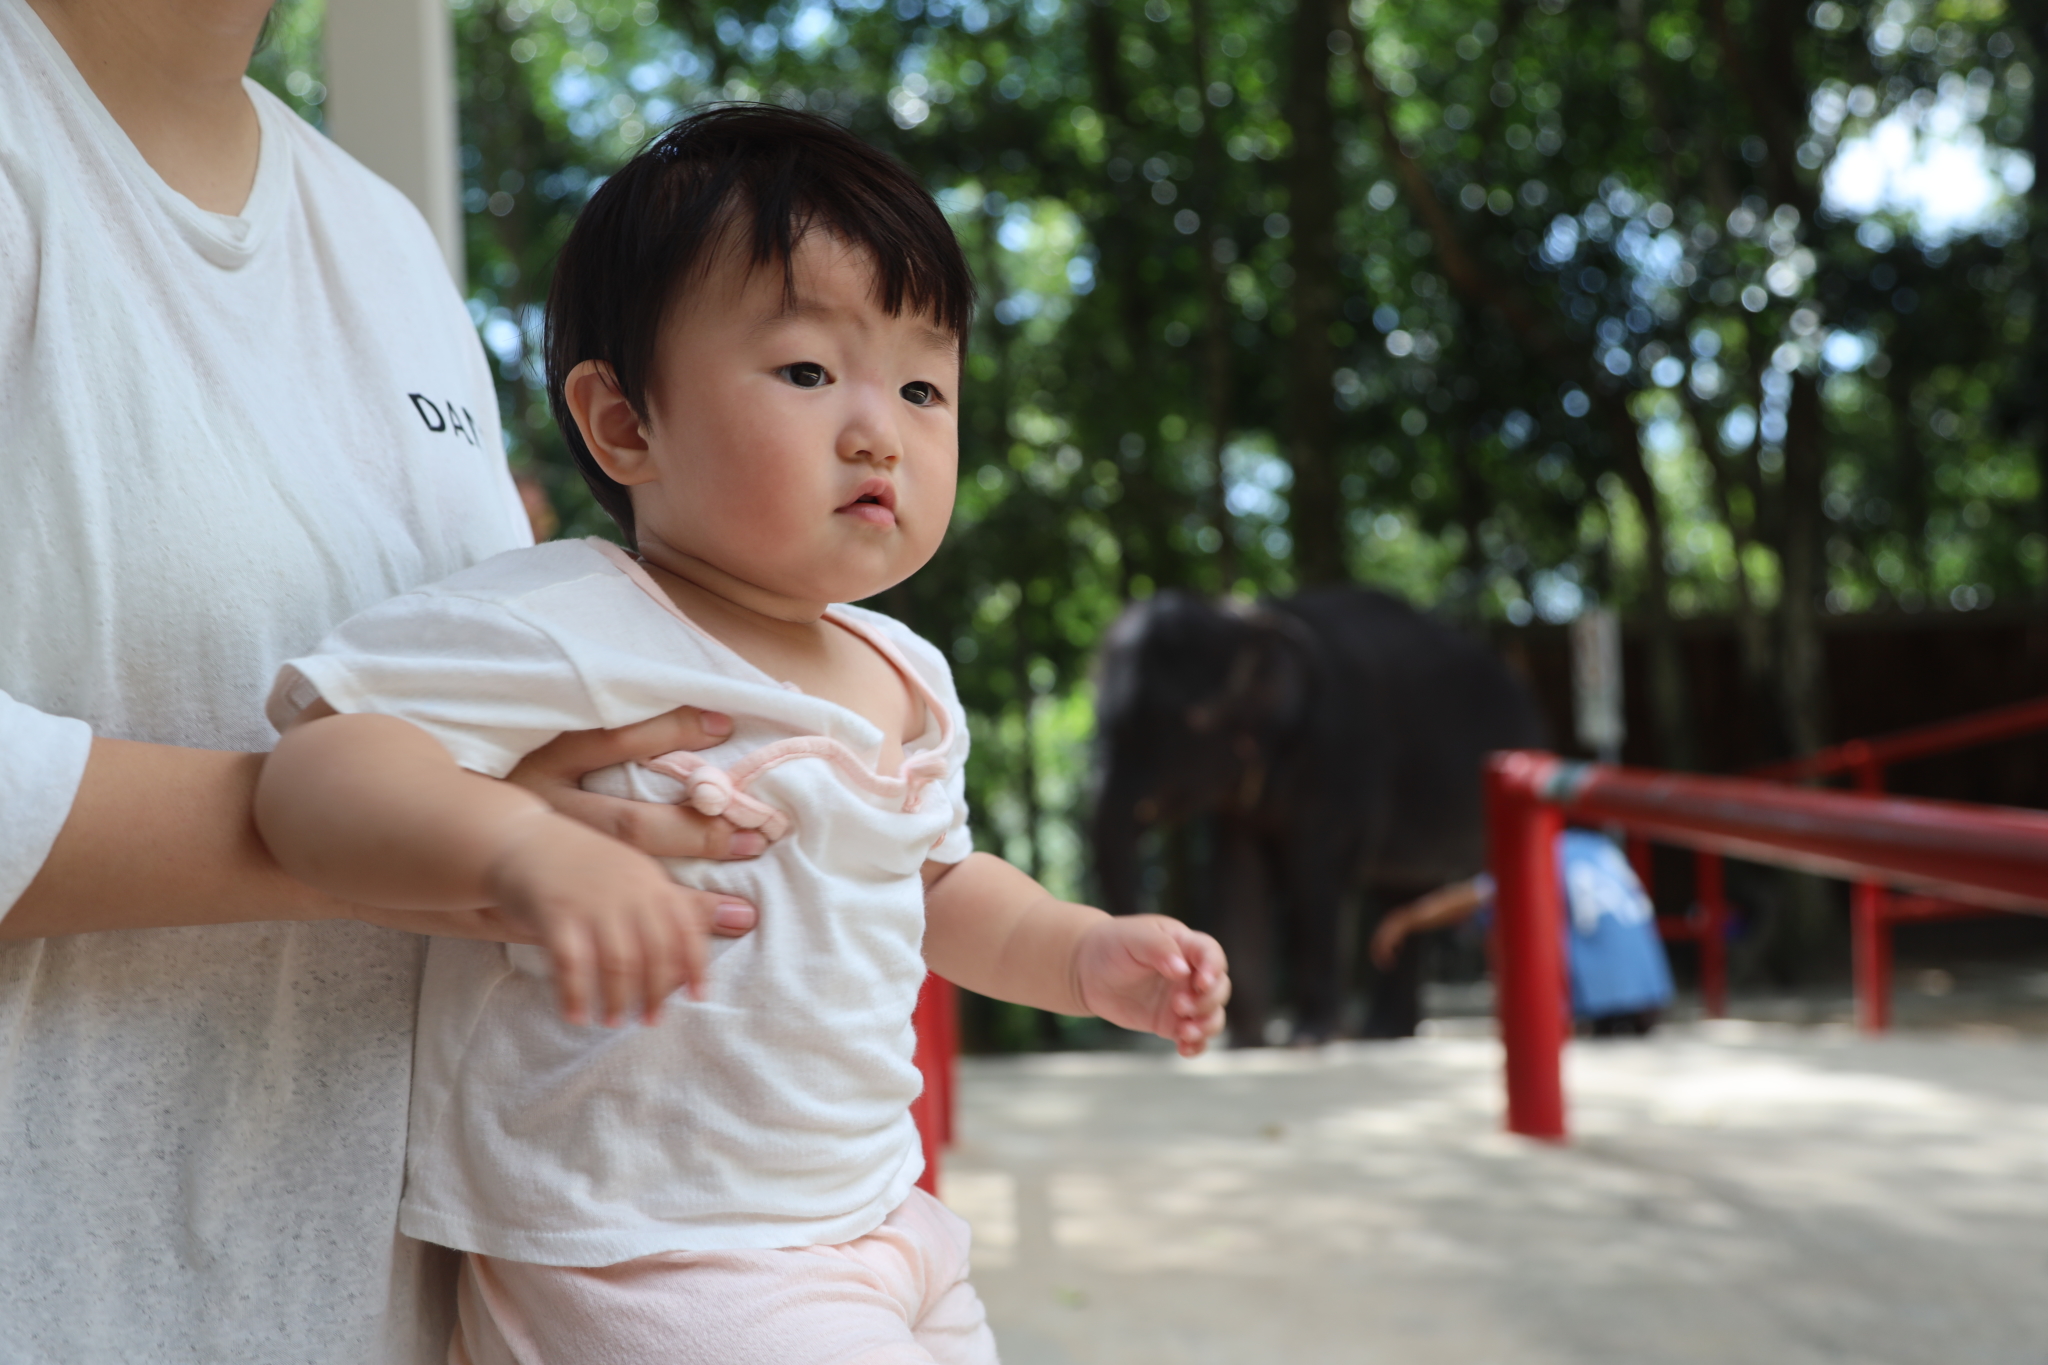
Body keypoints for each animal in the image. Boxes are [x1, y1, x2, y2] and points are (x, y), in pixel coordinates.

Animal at [1097, 589, 1540, 1047]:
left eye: (1182, 722)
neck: (1242, 619)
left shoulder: (1341, 751)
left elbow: (1314, 877)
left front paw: (1308, 1040)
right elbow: (1238, 875)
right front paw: (1243, 1043)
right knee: (1403, 895)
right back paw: (1386, 1033)